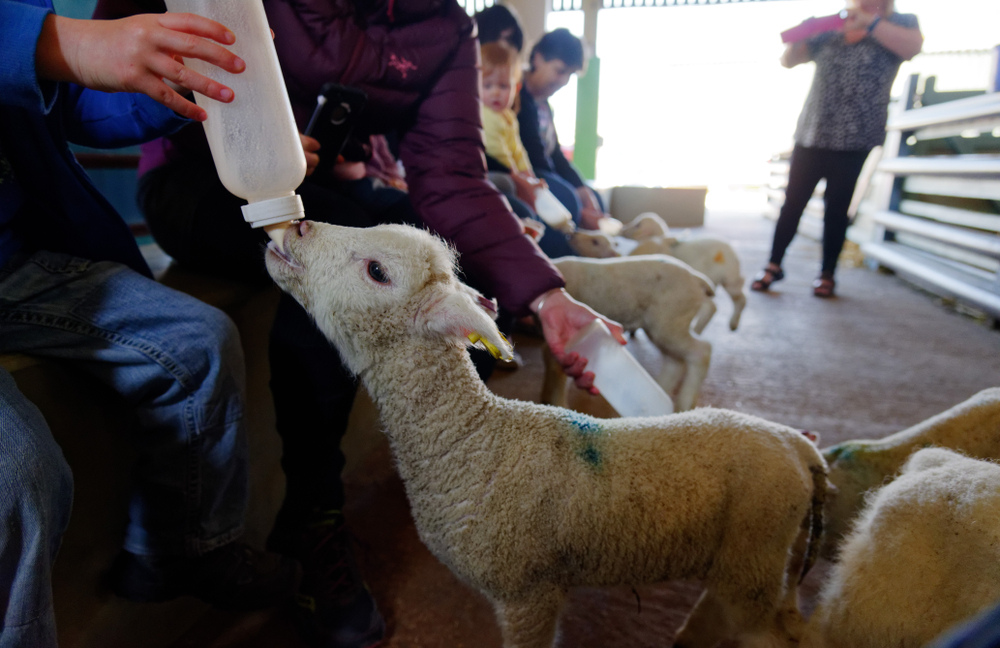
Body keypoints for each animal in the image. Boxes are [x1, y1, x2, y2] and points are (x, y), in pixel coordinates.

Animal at [548, 254, 720, 410]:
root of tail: (695, 278)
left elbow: (556, 374)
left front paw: (558, 405)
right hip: (661, 326)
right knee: (674, 362)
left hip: (670, 321)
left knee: (702, 351)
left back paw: (684, 403)